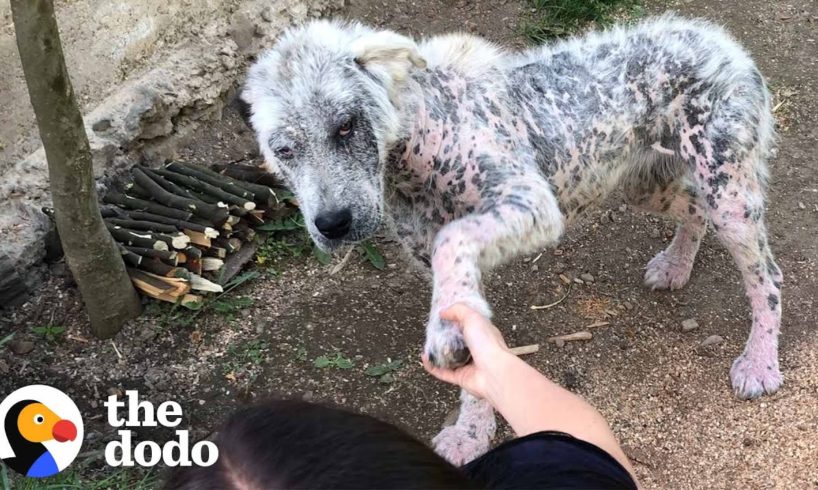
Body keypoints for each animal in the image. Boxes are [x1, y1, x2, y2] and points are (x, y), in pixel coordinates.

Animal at [236, 12, 776, 464]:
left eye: (345, 125)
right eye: (283, 150)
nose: (332, 224)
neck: (420, 140)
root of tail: (722, 40)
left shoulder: (529, 203)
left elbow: (454, 237)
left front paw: (446, 344)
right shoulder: (442, 261)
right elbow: (471, 348)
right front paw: (471, 431)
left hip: (728, 196)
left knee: (767, 277)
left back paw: (760, 361)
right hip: (649, 184)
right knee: (694, 211)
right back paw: (677, 264)